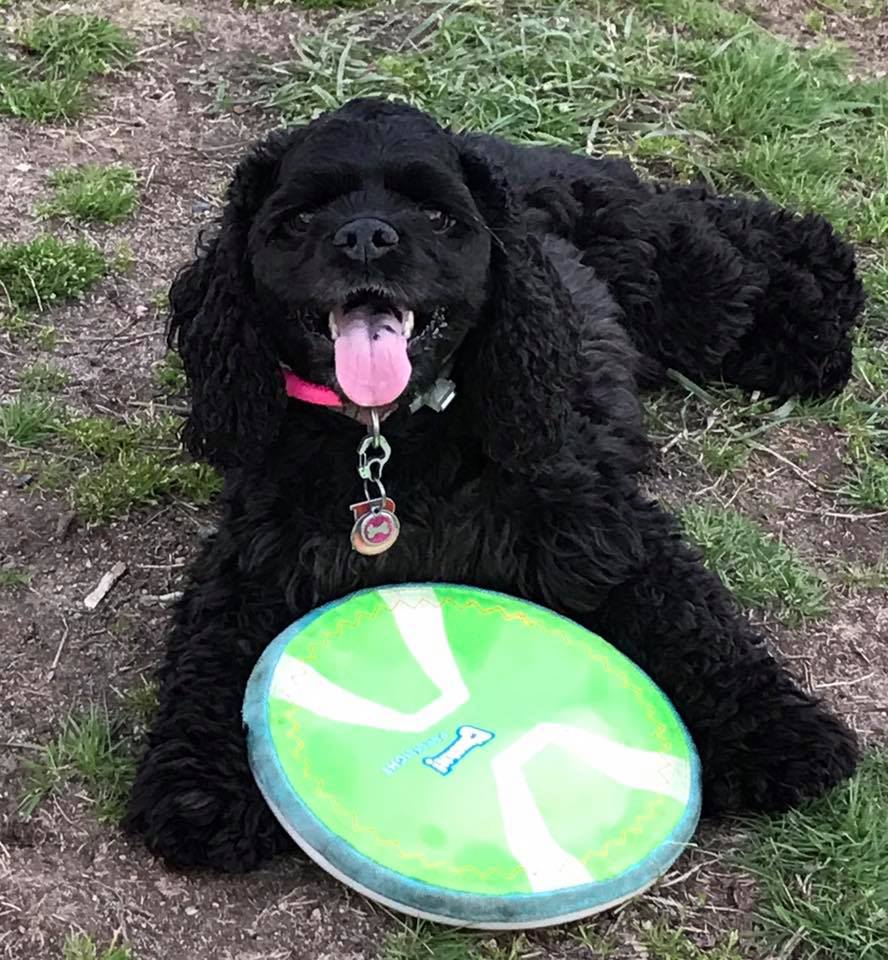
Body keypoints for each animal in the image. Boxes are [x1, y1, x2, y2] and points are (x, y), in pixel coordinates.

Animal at [125, 101, 860, 872]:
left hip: (686, 295)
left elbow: (693, 623)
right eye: (300, 218)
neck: (392, 440)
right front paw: (198, 787)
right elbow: (208, 657)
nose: (365, 238)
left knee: (744, 235)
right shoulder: (255, 561)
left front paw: (779, 734)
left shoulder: (602, 530)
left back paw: (816, 326)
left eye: (435, 213)